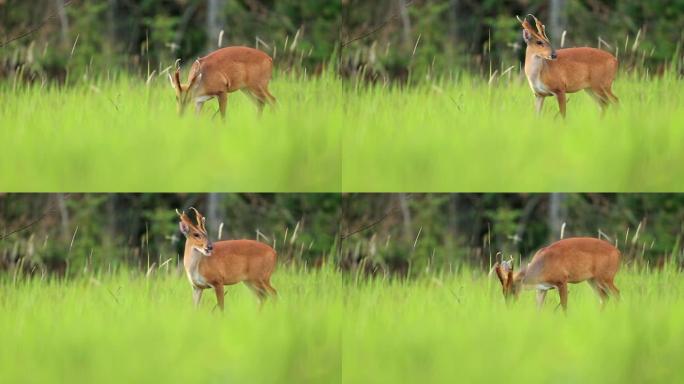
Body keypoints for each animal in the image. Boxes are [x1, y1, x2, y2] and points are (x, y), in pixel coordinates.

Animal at [492, 237, 620, 312]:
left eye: (513, 289)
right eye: (503, 291)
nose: (509, 307)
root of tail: (618, 252)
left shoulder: (562, 281)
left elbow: (564, 307)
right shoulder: (541, 288)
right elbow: (538, 309)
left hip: (605, 277)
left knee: (616, 294)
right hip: (592, 280)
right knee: (605, 298)